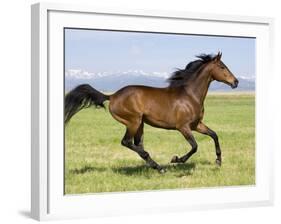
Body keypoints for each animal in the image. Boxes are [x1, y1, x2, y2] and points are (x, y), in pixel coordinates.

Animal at [64, 52, 237, 173]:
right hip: (133, 121)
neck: (190, 95)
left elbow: (214, 135)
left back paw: (156, 166)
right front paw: (176, 159)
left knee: (137, 144)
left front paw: (218, 161)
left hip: (140, 123)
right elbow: (194, 146)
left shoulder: (196, 125)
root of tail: (112, 96)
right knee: (127, 142)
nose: (235, 82)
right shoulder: (183, 127)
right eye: (222, 67)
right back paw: (159, 166)